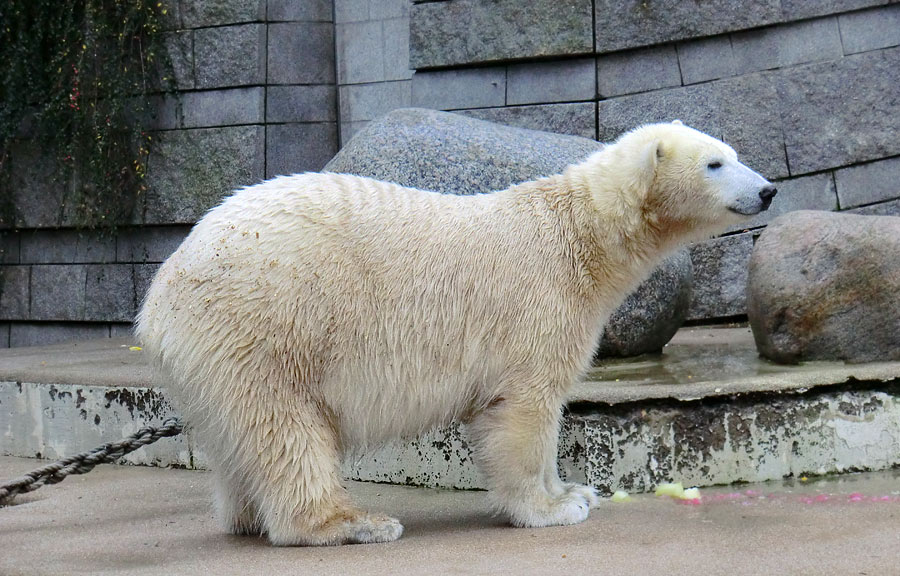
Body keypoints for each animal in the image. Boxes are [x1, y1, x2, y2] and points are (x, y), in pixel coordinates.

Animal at [137, 120, 776, 544]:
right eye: (715, 163)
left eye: (734, 153)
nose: (768, 189)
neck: (578, 233)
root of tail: (159, 298)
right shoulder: (537, 302)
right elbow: (524, 408)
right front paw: (550, 509)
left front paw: (573, 490)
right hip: (265, 322)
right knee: (285, 427)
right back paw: (353, 523)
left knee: (241, 440)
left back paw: (248, 516)